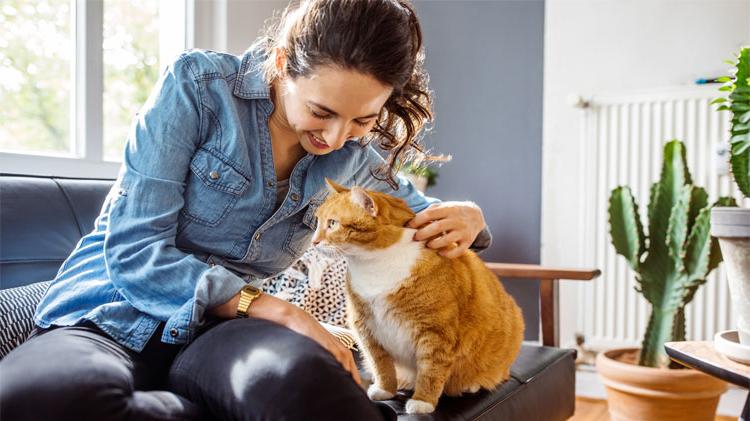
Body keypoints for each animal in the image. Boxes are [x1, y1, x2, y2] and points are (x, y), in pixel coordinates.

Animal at [310, 178, 524, 414]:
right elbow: (380, 364)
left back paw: (472, 384)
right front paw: (385, 389)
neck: (375, 265)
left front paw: (423, 402)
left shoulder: (435, 332)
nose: (313, 242)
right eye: (318, 222)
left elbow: (430, 371)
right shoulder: (366, 328)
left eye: (332, 223)